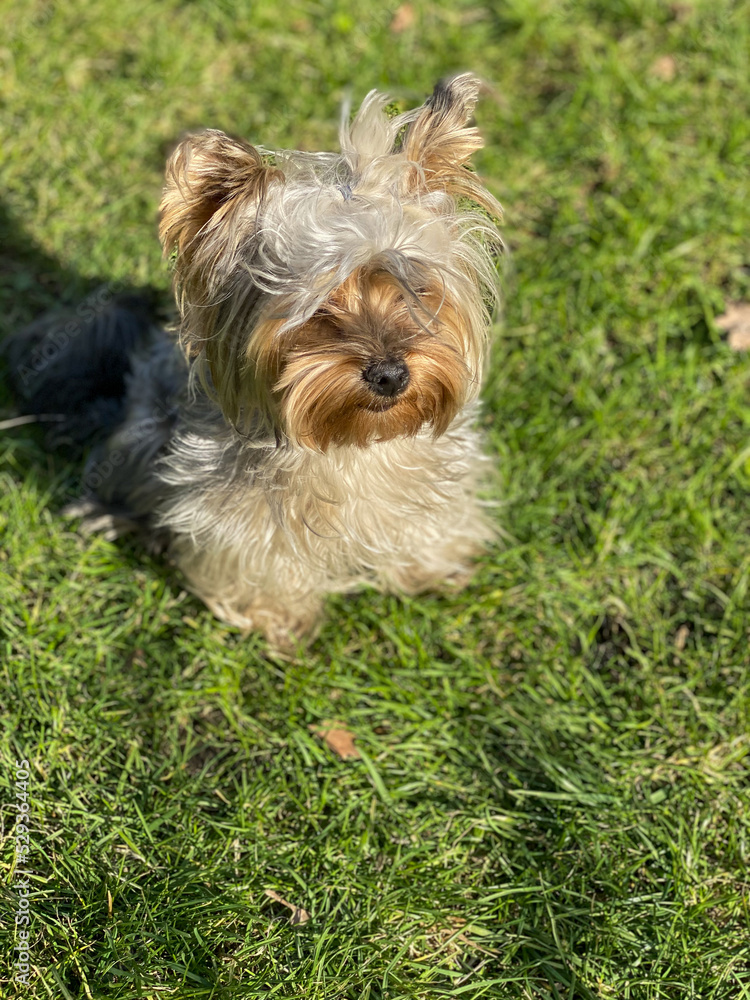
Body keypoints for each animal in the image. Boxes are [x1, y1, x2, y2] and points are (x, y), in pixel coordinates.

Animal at [5, 72, 502, 648]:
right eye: (318, 308)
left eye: (415, 291)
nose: (390, 374)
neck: (352, 442)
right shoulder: (228, 508)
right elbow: (256, 555)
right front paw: (274, 614)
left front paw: (434, 565)